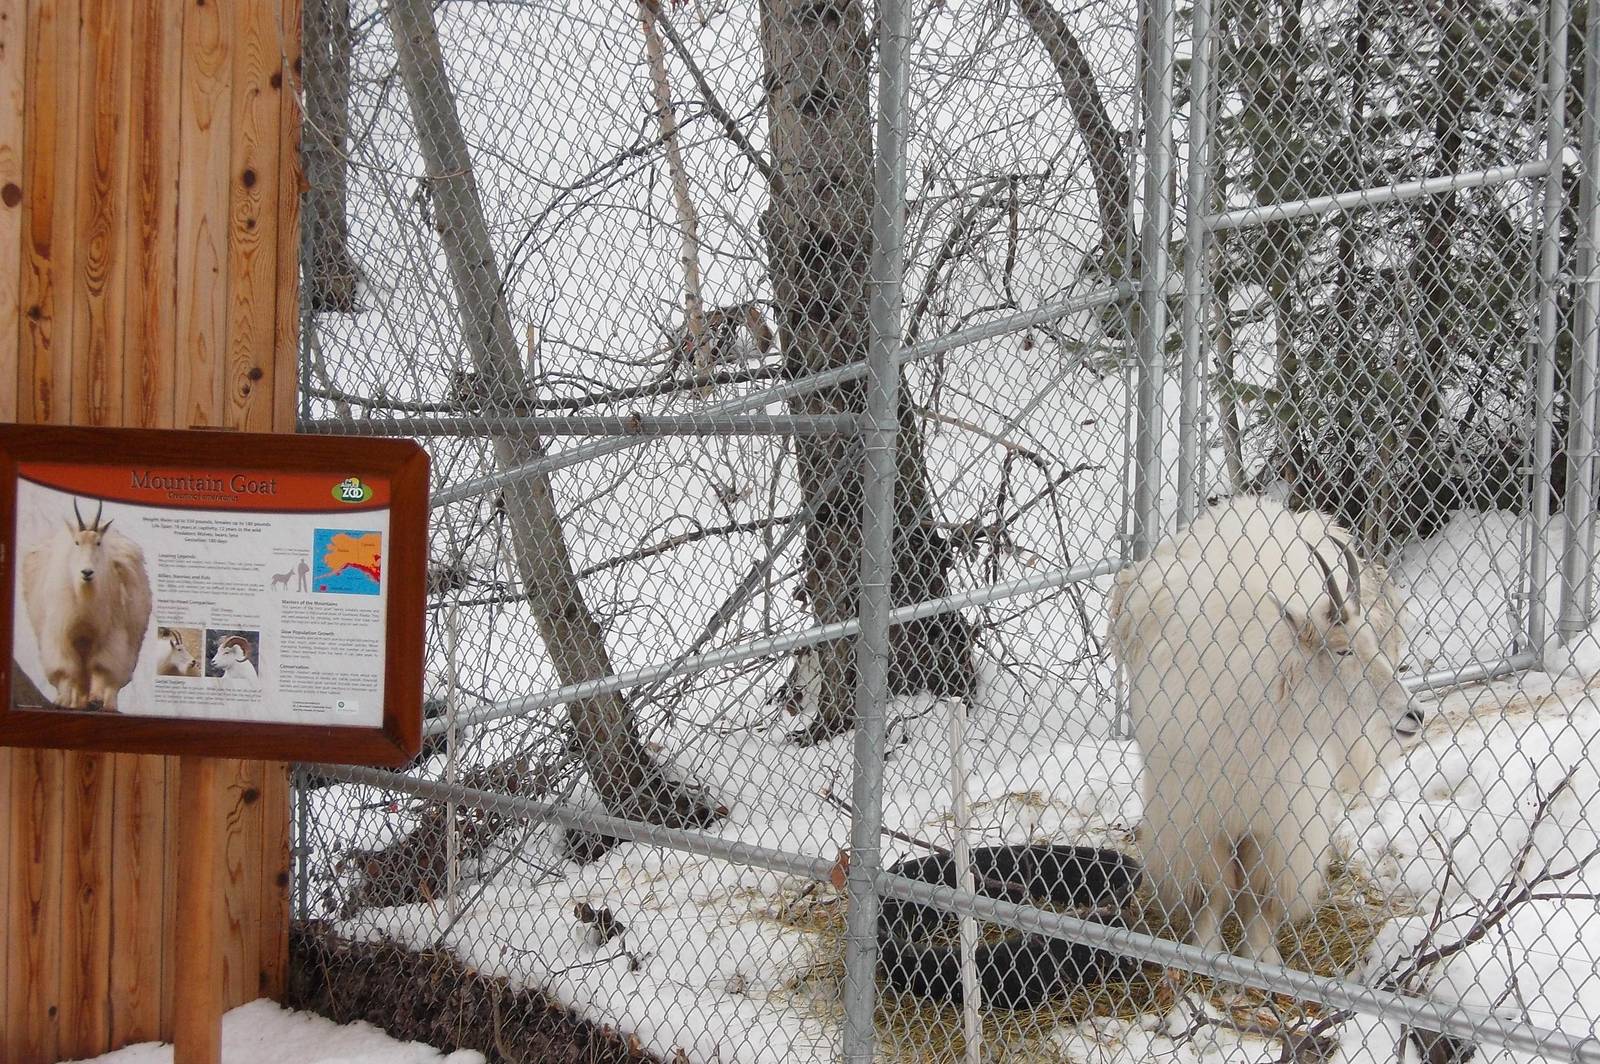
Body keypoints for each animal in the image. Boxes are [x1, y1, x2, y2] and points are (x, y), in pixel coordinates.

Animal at [21, 499, 153, 710]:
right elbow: (65, 669)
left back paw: (107, 705)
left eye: (98, 542)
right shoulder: (60, 634)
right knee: (80, 677)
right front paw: (61, 701)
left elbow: (101, 667)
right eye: (77, 542)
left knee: (112, 679)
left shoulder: (110, 636)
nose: (87, 572)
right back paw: (77, 703)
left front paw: (96, 699)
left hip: (129, 644)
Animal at [1107, 497, 1423, 967]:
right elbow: (1214, 886)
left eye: (1375, 645)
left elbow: (1263, 891)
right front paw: (1205, 947)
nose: (1414, 715)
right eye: (1343, 649)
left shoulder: (1285, 819)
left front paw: (1262, 956)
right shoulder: (1200, 811)